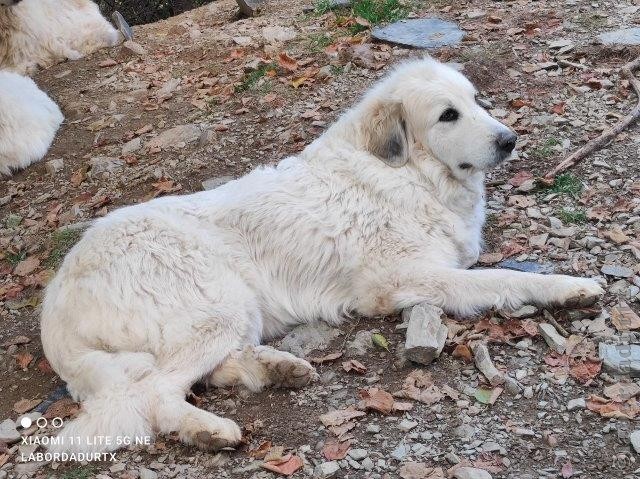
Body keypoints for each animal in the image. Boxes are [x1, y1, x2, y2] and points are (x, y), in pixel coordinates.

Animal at [41, 58, 604, 456]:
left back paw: (276, 368)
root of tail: (56, 301)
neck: (407, 171)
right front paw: (569, 288)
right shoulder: (404, 277)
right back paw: (210, 430)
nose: (509, 140)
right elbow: (502, 278)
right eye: (448, 114)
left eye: (475, 100)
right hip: (217, 304)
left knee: (186, 377)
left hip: (230, 315)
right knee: (153, 394)